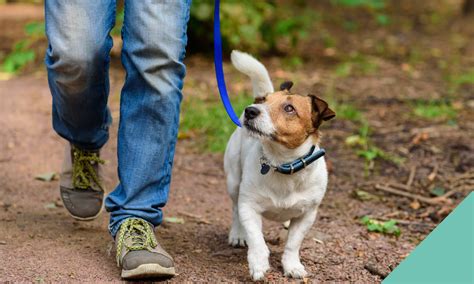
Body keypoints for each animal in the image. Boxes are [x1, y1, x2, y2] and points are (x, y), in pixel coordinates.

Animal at [224, 50, 336, 280]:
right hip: (233, 181)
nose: (250, 110)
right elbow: (257, 239)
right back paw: (238, 234)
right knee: (235, 209)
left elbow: (293, 243)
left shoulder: (307, 215)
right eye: (264, 101)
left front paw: (292, 265)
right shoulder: (249, 207)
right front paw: (258, 263)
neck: (282, 163)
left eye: (289, 108)